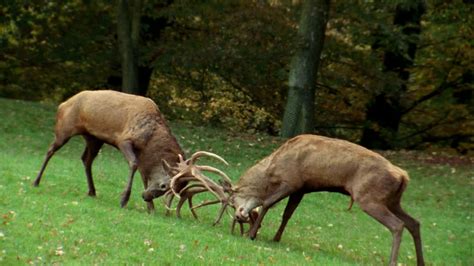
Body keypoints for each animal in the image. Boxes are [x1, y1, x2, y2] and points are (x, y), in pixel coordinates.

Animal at [170, 135, 426, 266]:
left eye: (233, 201)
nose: (240, 216)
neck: (273, 171)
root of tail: (403, 176)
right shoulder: (302, 188)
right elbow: (288, 214)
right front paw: (275, 238)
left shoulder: (291, 181)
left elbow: (268, 203)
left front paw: (253, 233)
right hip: (392, 200)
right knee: (414, 222)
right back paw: (420, 261)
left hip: (369, 197)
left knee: (398, 225)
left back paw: (392, 261)